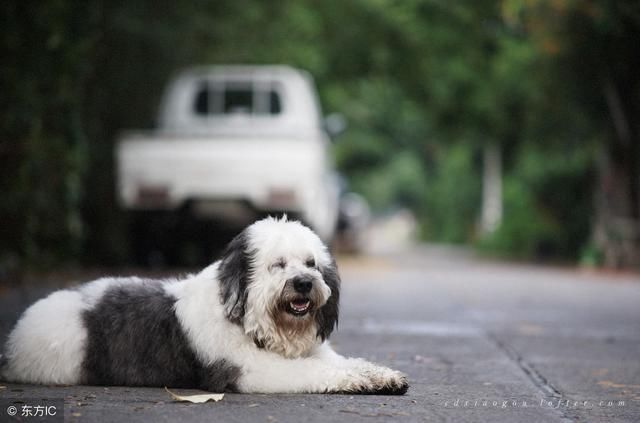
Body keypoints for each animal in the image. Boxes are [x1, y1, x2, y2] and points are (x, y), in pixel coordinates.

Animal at [1, 217, 410, 396]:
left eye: (311, 263)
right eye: (277, 265)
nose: (304, 283)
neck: (244, 317)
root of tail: (15, 338)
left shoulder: (317, 352)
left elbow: (344, 362)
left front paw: (381, 375)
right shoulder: (251, 370)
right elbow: (315, 372)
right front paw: (359, 381)